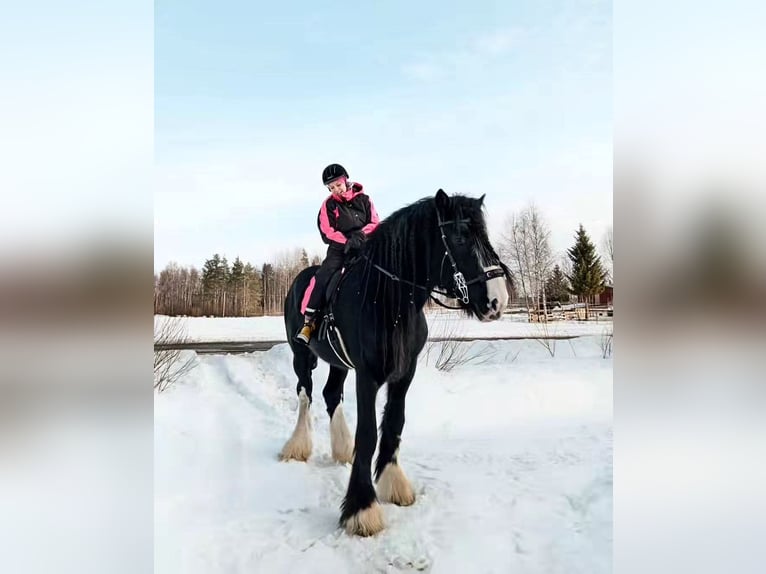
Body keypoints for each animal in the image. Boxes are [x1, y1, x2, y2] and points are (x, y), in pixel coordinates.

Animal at [280, 189, 510, 536]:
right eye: (459, 237)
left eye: (484, 235)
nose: (497, 300)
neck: (388, 299)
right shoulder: (367, 375)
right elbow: (367, 434)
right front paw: (361, 509)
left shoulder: (404, 372)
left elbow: (393, 423)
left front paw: (393, 482)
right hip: (301, 355)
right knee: (305, 394)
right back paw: (297, 446)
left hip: (338, 362)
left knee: (331, 395)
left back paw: (341, 449)